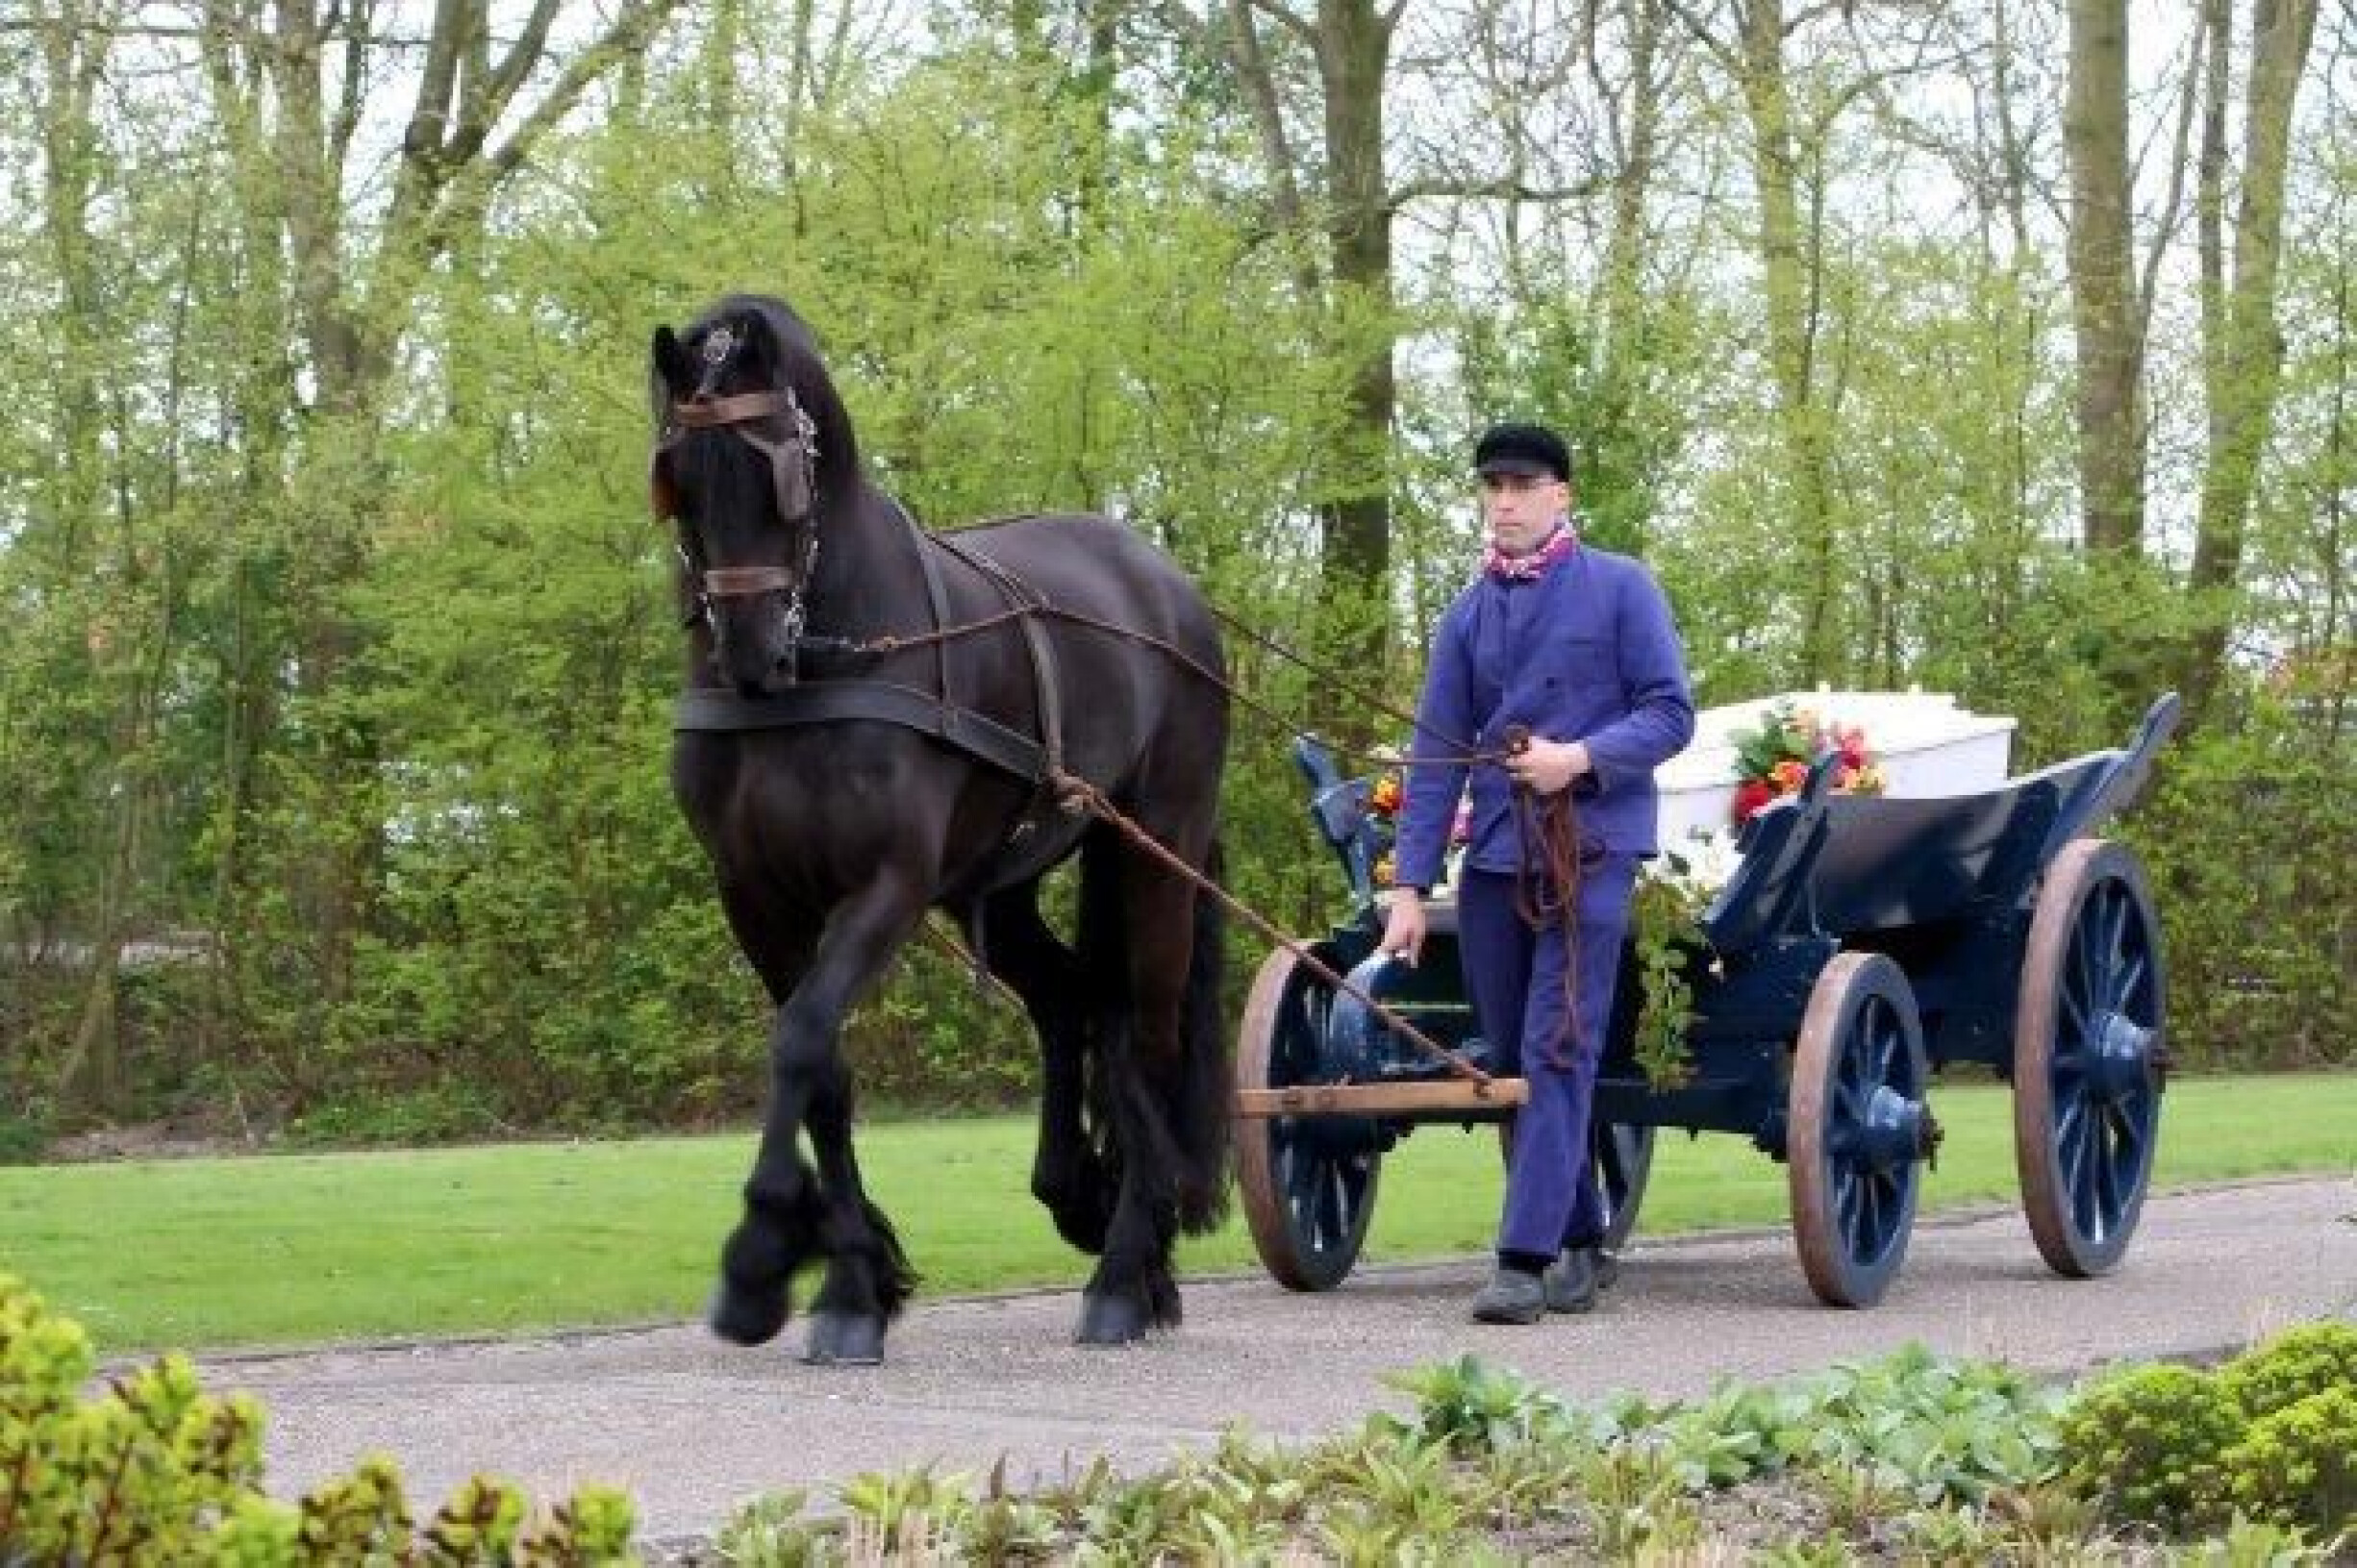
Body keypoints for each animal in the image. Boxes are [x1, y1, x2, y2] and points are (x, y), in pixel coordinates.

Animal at [645, 293, 1235, 1357]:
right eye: (683, 478)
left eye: (780, 469)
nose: (750, 654)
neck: (826, 657)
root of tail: (1168, 589)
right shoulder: (753, 895)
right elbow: (822, 1069)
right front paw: (851, 1280)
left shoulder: (887, 883)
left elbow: (800, 1038)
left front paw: (760, 1254)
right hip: (995, 879)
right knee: (1075, 1000)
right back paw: (1084, 1203)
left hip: (1154, 849)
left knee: (1146, 1029)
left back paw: (1126, 1271)